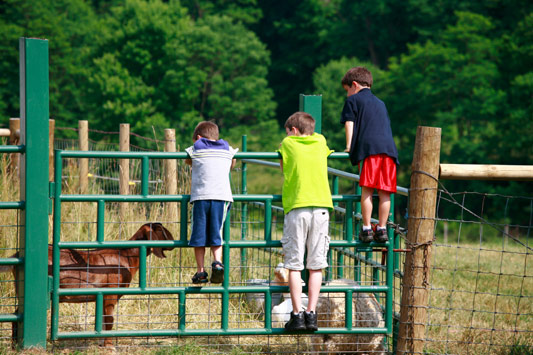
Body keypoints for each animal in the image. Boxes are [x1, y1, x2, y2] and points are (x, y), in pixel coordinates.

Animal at [2, 222, 175, 348]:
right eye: (161, 231)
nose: (173, 243)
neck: (125, 256)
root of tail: (18, 255)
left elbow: (103, 320)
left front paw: (101, 343)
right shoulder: (110, 293)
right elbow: (109, 320)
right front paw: (110, 346)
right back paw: (15, 345)